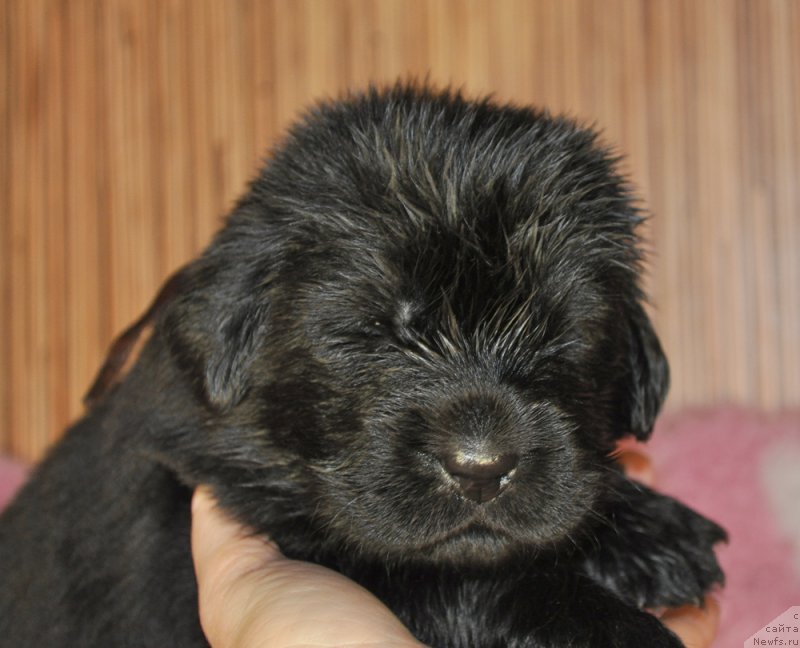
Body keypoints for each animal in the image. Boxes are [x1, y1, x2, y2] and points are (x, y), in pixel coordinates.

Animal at [0, 85, 724, 644]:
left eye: (559, 333)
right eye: (369, 330)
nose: (482, 469)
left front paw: (649, 528)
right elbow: (460, 579)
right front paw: (615, 625)